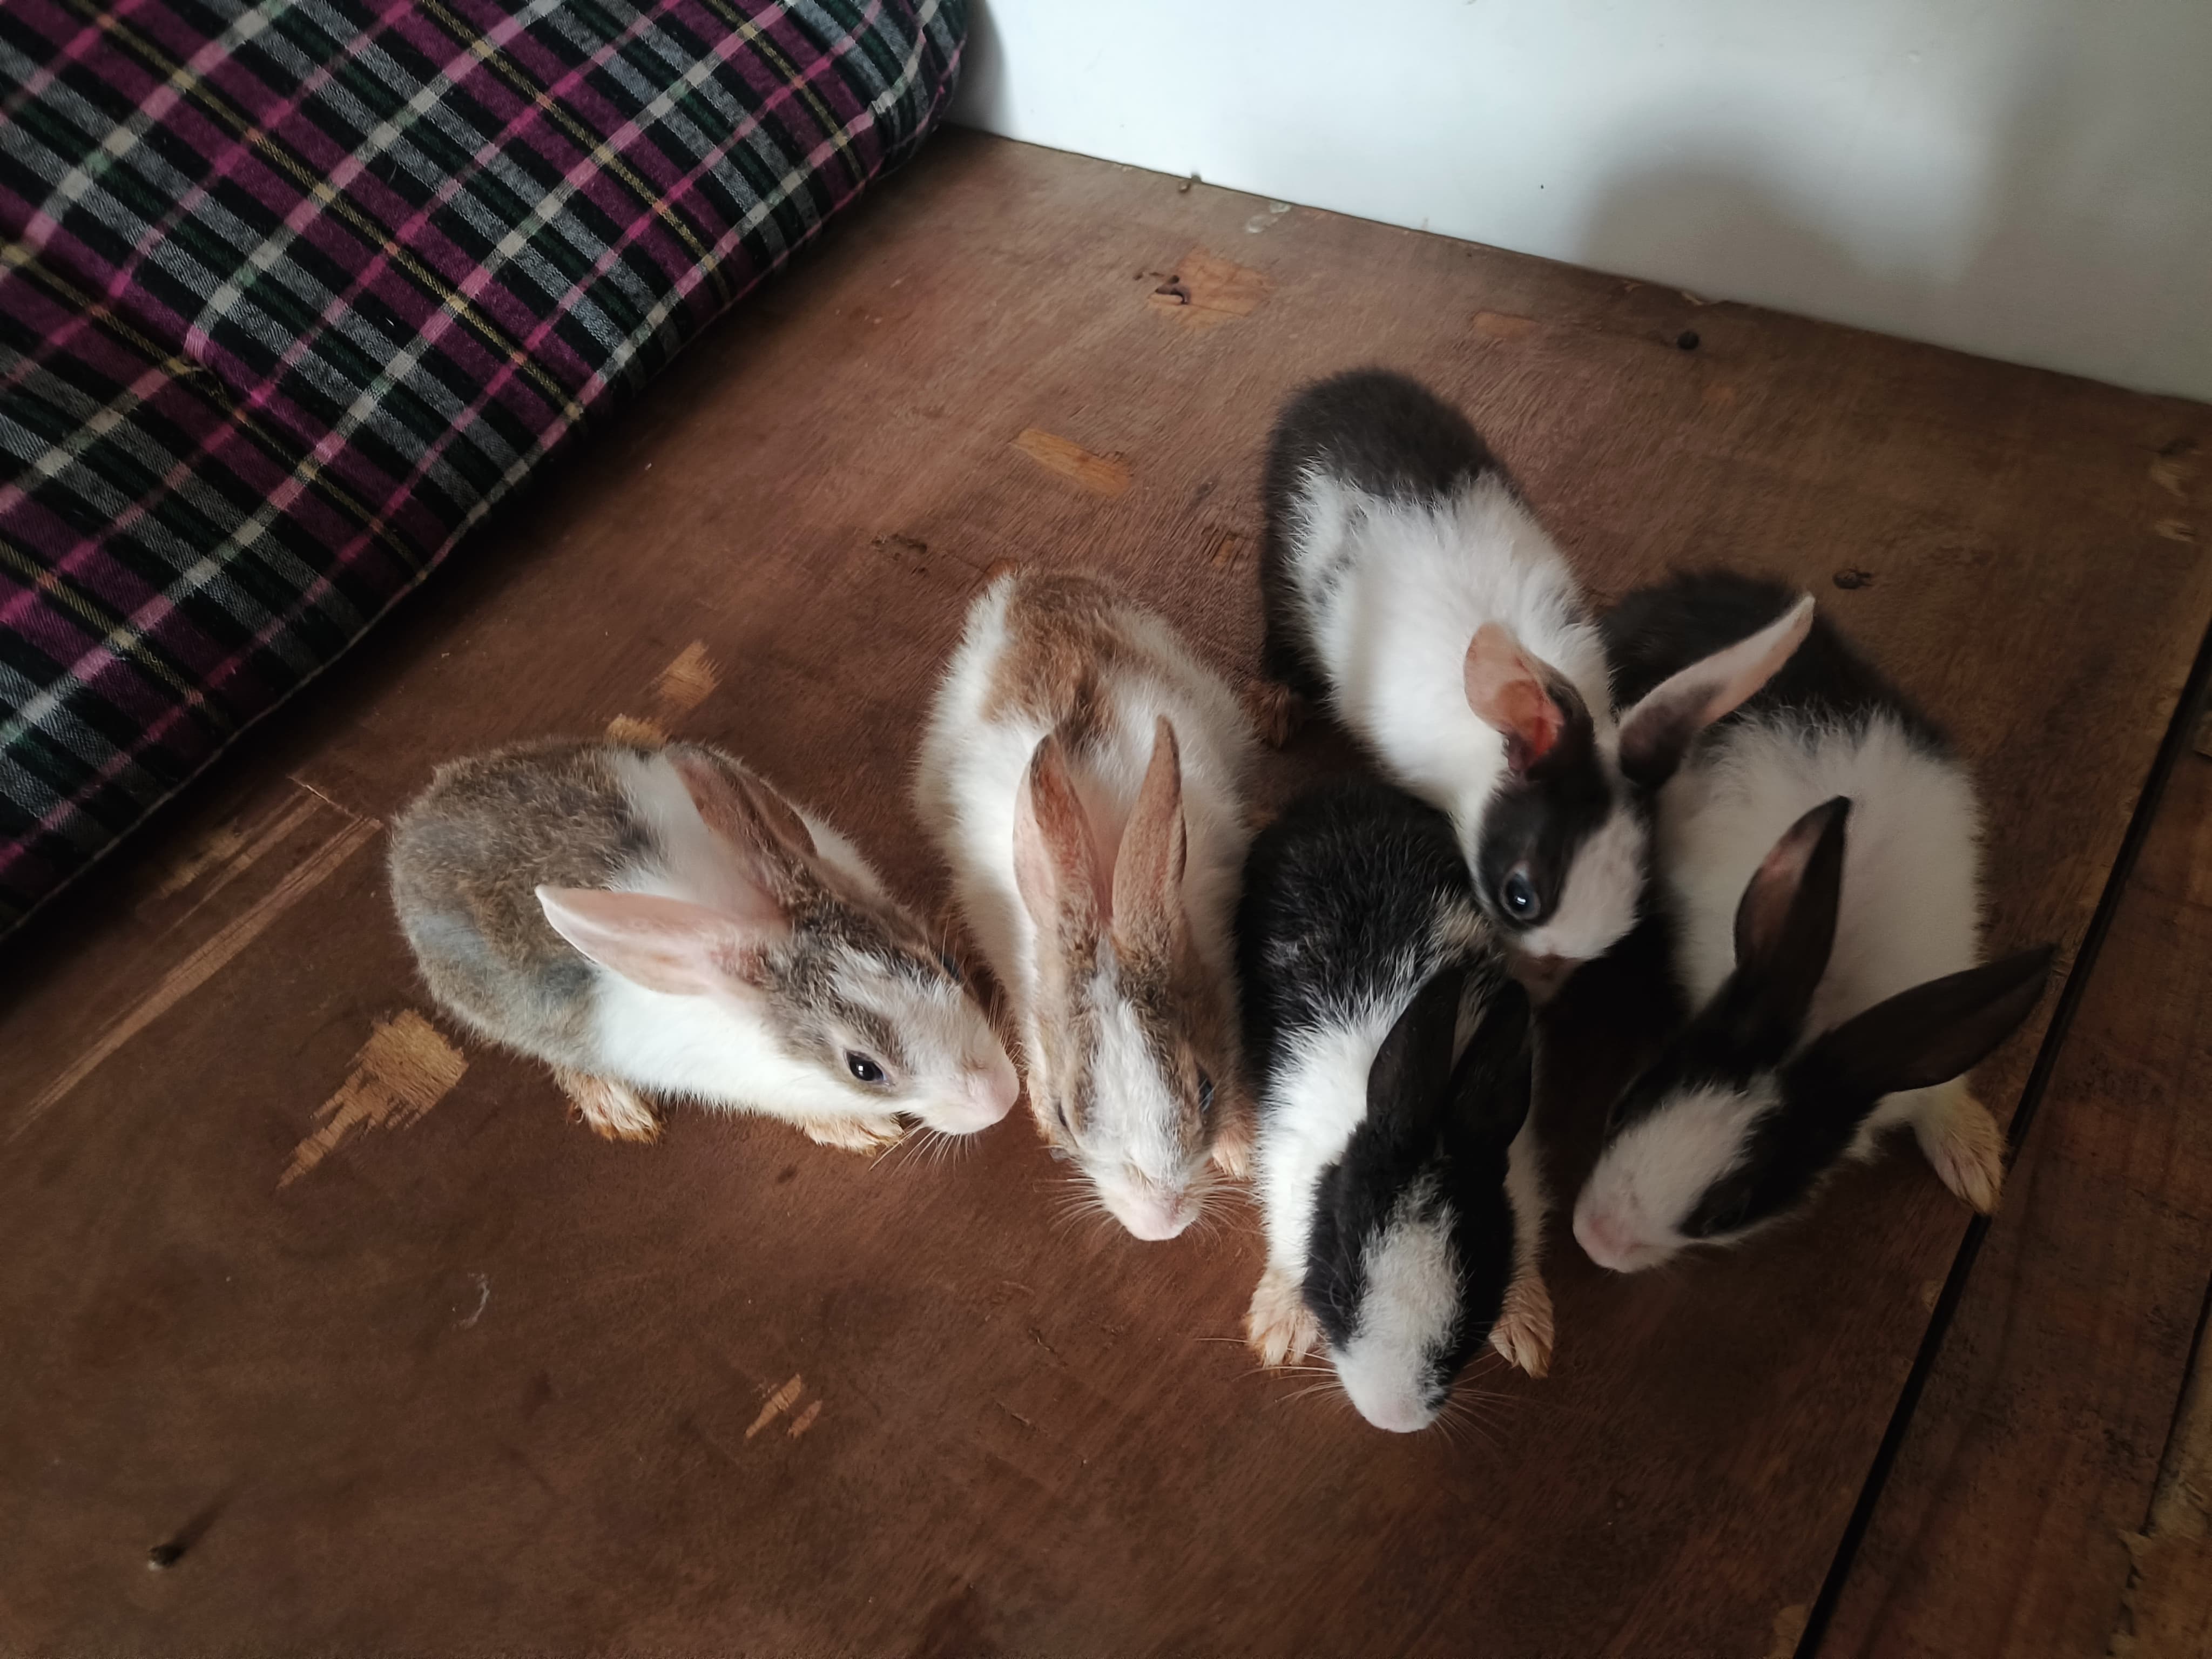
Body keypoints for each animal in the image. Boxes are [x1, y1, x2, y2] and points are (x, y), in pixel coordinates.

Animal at [389, 737, 1019, 1150]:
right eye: (864, 1069)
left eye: (947, 964)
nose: (1001, 1098)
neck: (753, 927)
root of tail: (412, 830)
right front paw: (859, 1130)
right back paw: (616, 1108)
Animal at [914, 570, 1258, 1240]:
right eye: (1066, 1115)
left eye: (1205, 1089)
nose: (1160, 1224)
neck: (1101, 902)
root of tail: (1029, 586)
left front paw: (1240, 1151)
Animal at [1237, 779, 1551, 1432]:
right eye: (1338, 1292)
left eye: (1472, 1313)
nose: (1393, 1419)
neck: (1429, 1115)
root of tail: (1337, 798)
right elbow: (1285, 1254)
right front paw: (1278, 1327)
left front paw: (1531, 1328)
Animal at [1256, 368, 1813, 996]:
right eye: (1518, 897)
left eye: (1639, 898)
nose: (1538, 990)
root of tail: (1341, 383)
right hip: (1283, 551)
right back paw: (1278, 705)